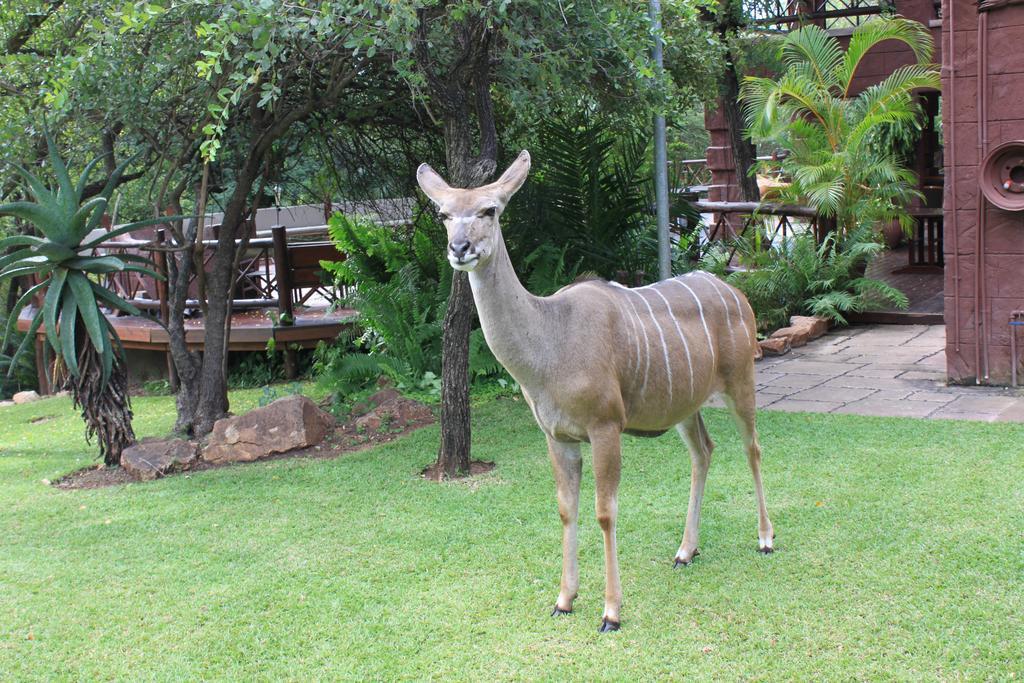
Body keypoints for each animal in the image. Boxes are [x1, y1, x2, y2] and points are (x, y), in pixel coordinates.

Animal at [419, 152, 770, 634]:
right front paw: (564, 599)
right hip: (684, 406)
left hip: (741, 384)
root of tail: (738, 293)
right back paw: (685, 551)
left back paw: (765, 539)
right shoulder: (558, 437)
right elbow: (567, 508)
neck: (550, 341)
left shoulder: (605, 427)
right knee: (704, 451)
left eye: (490, 209)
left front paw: (611, 613)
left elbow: (606, 511)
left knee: (752, 448)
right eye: (444, 214)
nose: (460, 248)